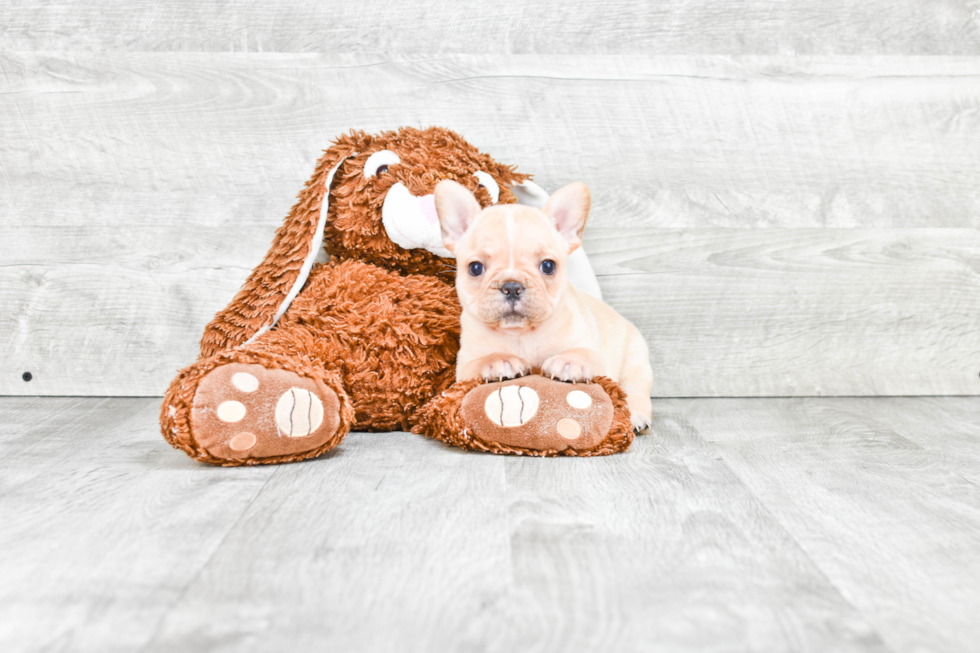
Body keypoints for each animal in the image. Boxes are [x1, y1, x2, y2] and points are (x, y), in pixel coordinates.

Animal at [434, 181, 652, 430]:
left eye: (548, 266)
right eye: (475, 268)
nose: (511, 286)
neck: (520, 334)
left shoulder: (592, 351)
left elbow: (584, 353)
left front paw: (568, 362)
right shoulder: (465, 364)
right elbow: (482, 361)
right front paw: (499, 361)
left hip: (635, 361)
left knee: (636, 390)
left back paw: (636, 415)